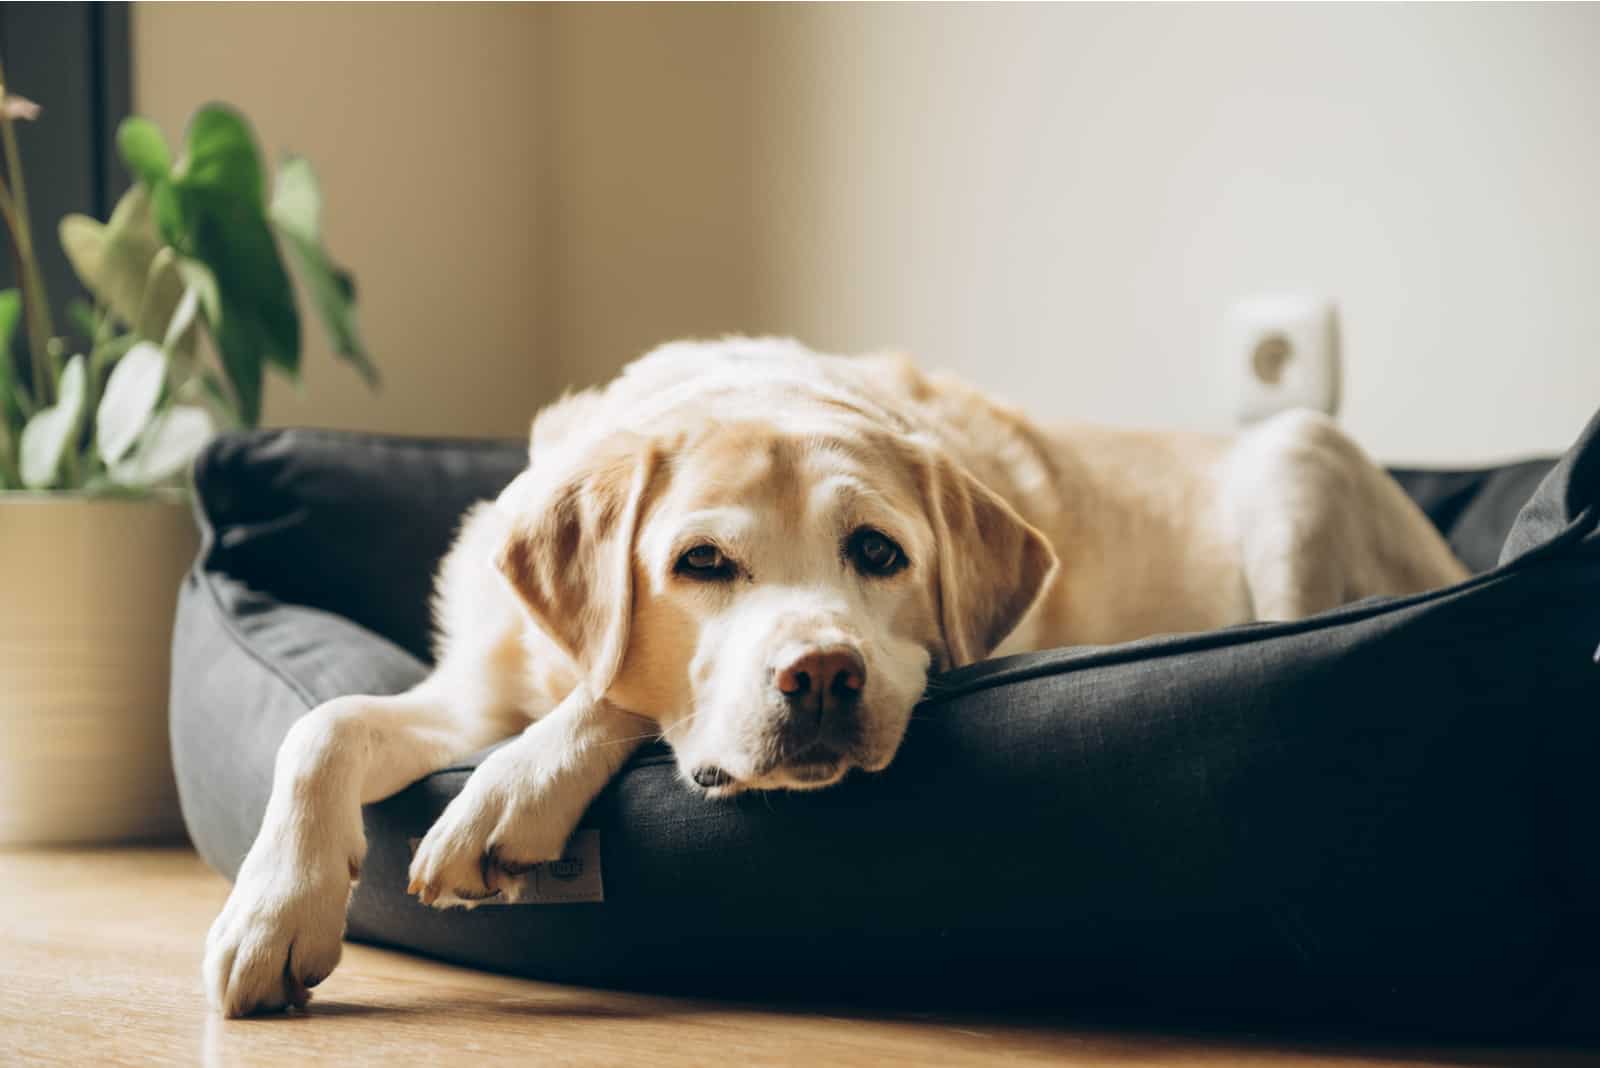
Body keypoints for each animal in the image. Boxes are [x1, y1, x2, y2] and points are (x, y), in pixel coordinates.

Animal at [206, 335, 1465, 1016]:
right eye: (701, 564)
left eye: (878, 553)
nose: (818, 676)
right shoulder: (472, 687)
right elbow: (321, 728)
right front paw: (271, 911)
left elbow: (616, 697)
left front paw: (509, 794)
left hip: (1297, 456)